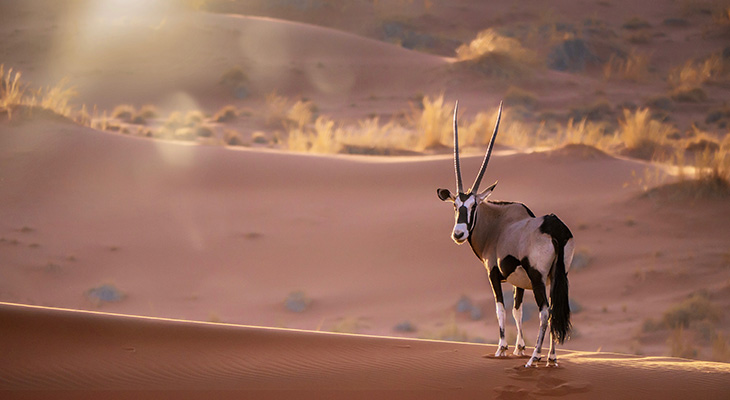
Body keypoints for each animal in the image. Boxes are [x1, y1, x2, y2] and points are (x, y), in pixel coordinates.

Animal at [436, 101, 572, 368]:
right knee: (555, 309)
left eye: (473, 206)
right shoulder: (519, 282)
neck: (497, 224)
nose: (459, 233)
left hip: (539, 277)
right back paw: (551, 357)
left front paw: (502, 349)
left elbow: (500, 308)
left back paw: (535, 357)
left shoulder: (494, 274)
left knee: (545, 311)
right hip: (558, 276)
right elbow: (517, 310)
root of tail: (555, 227)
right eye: (455, 206)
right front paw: (519, 348)